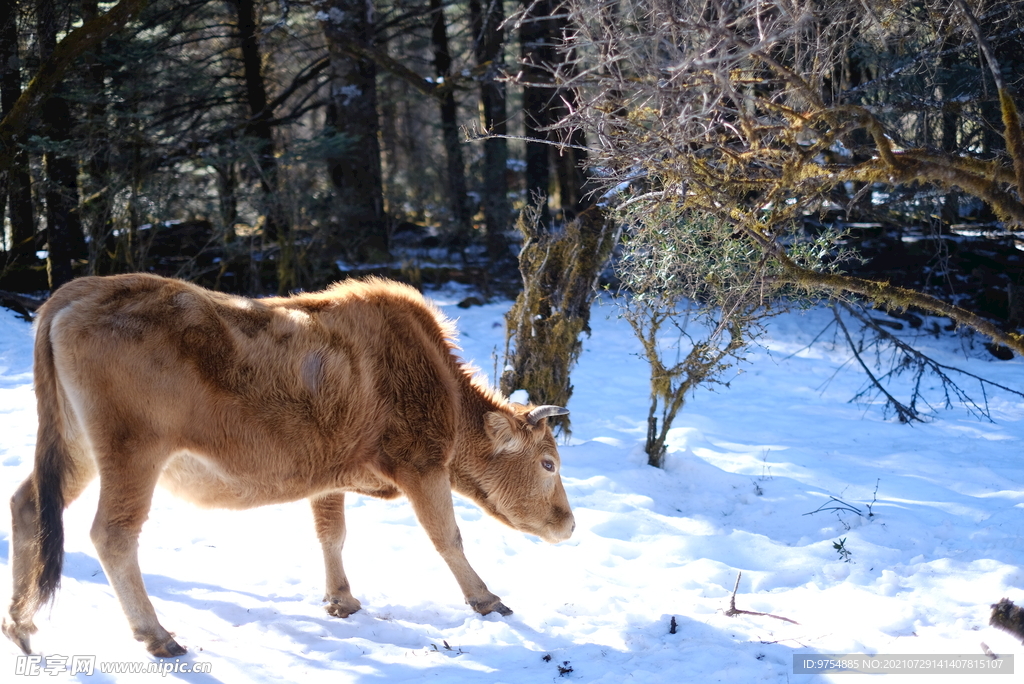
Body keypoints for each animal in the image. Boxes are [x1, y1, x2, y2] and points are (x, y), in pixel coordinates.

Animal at [2, 272, 577, 655]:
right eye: (548, 463)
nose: (569, 524)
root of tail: (77, 292)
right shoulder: (421, 466)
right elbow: (448, 537)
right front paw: (487, 599)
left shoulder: (330, 477)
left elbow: (331, 535)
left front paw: (341, 600)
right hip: (132, 453)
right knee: (113, 534)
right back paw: (156, 635)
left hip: (75, 449)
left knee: (29, 505)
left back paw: (21, 626)